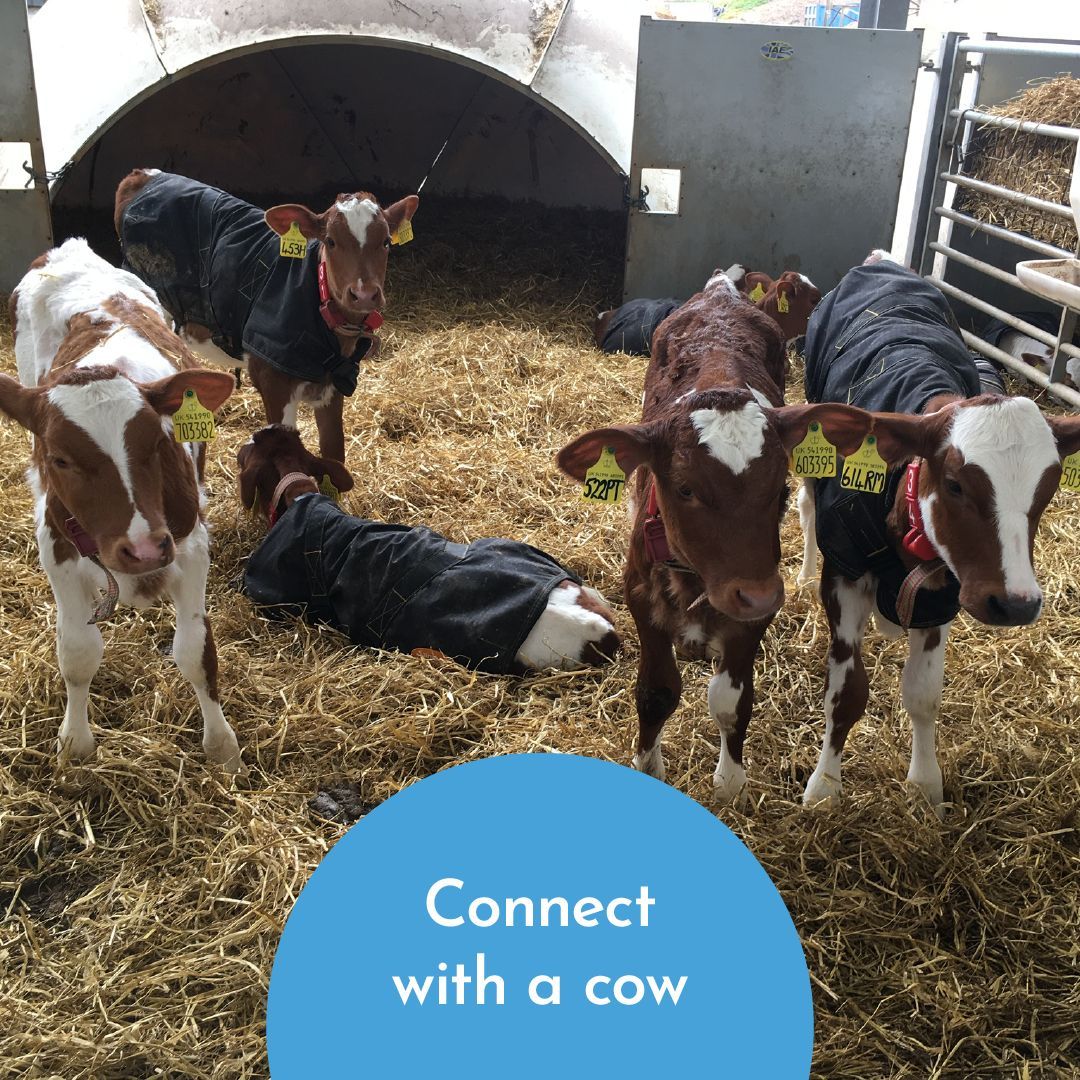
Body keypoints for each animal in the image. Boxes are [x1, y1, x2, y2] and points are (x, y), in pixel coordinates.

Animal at [1, 238, 241, 770]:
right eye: (59, 457)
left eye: (156, 442)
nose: (144, 549)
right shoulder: (55, 545)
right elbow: (77, 652)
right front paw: (75, 742)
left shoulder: (190, 544)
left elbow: (195, 650)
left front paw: (222, 747)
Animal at [114, 168, 418, 477]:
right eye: (331, 241)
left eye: (386, 241)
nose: (364, 294)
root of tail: (142, 175)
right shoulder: (272, 382)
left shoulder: (334, 386)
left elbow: (334, 453)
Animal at [558, 269, 874, 798]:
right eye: (685, 488)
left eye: (780, 487)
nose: (756, 592)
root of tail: (723, 289)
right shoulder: (640, 594)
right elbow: (657, 691)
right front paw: (649, 767)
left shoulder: (754, 610)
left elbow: (730, 700)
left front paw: (729, 781)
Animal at [797, 251, 1080, 808]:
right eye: (954, 484)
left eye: (1048, 490)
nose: (1016, 604)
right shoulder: (844, 574)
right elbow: (846, 695)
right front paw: (824, 787)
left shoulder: (944, 591)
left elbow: (923, 695)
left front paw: (926, 784)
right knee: (806, 508)